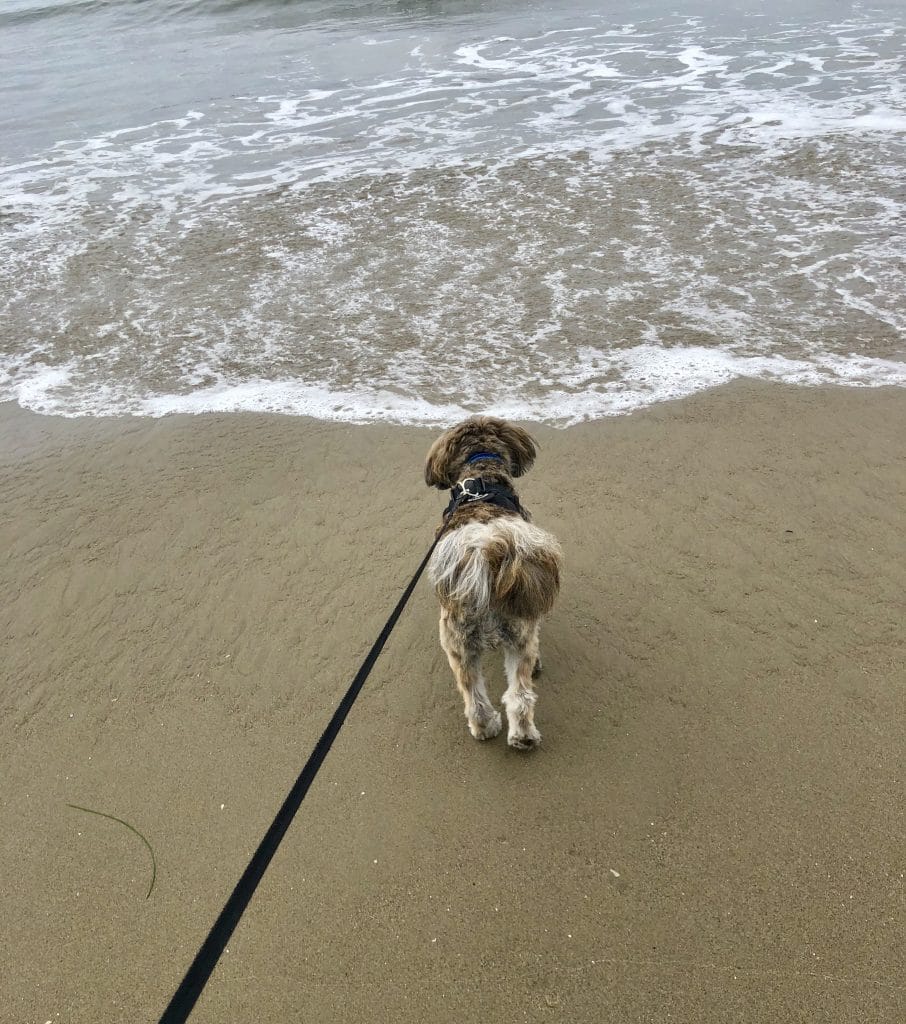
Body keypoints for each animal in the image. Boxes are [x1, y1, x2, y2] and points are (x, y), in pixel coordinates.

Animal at [421, 417, 556, 753]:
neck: (480, 478)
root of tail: (486, 551)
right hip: (517, 636)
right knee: (518, 693)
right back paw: (518, 734)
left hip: (460, 647)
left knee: (478, 697)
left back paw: (493, 730)